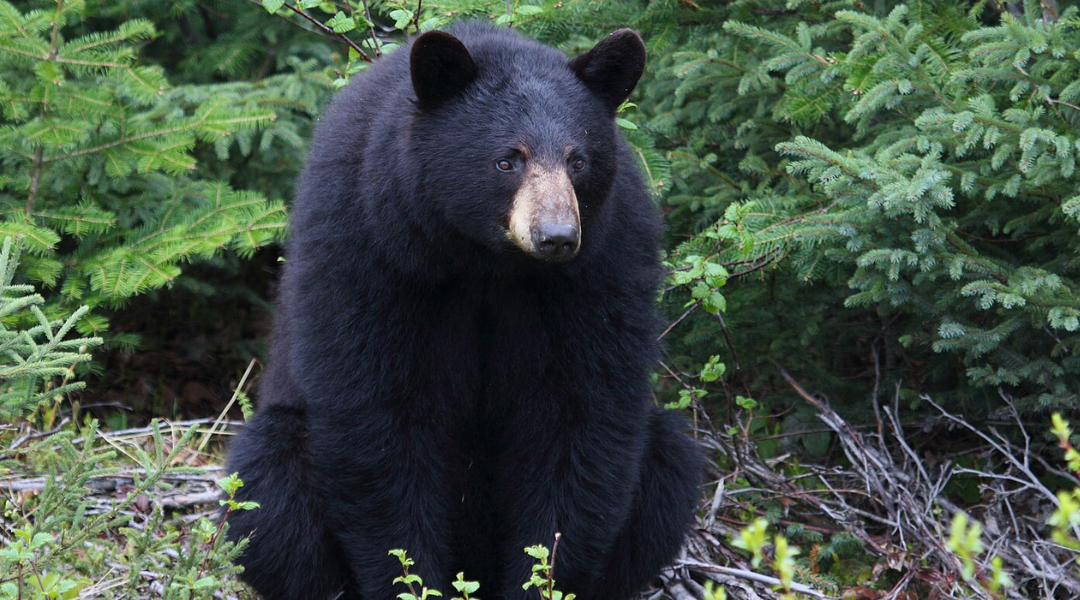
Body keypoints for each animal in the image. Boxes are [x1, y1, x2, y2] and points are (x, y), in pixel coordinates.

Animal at [227, 24, 699, 600]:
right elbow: (380, 417)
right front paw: (411, 581)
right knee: (268, 487)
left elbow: (581, 416)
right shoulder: (368, 244)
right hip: (275, 456)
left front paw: (542, 580)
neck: (485, 261)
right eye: (507, 159)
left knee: (668, 463)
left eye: (578, 161)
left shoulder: (604, 261)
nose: (557, 237)